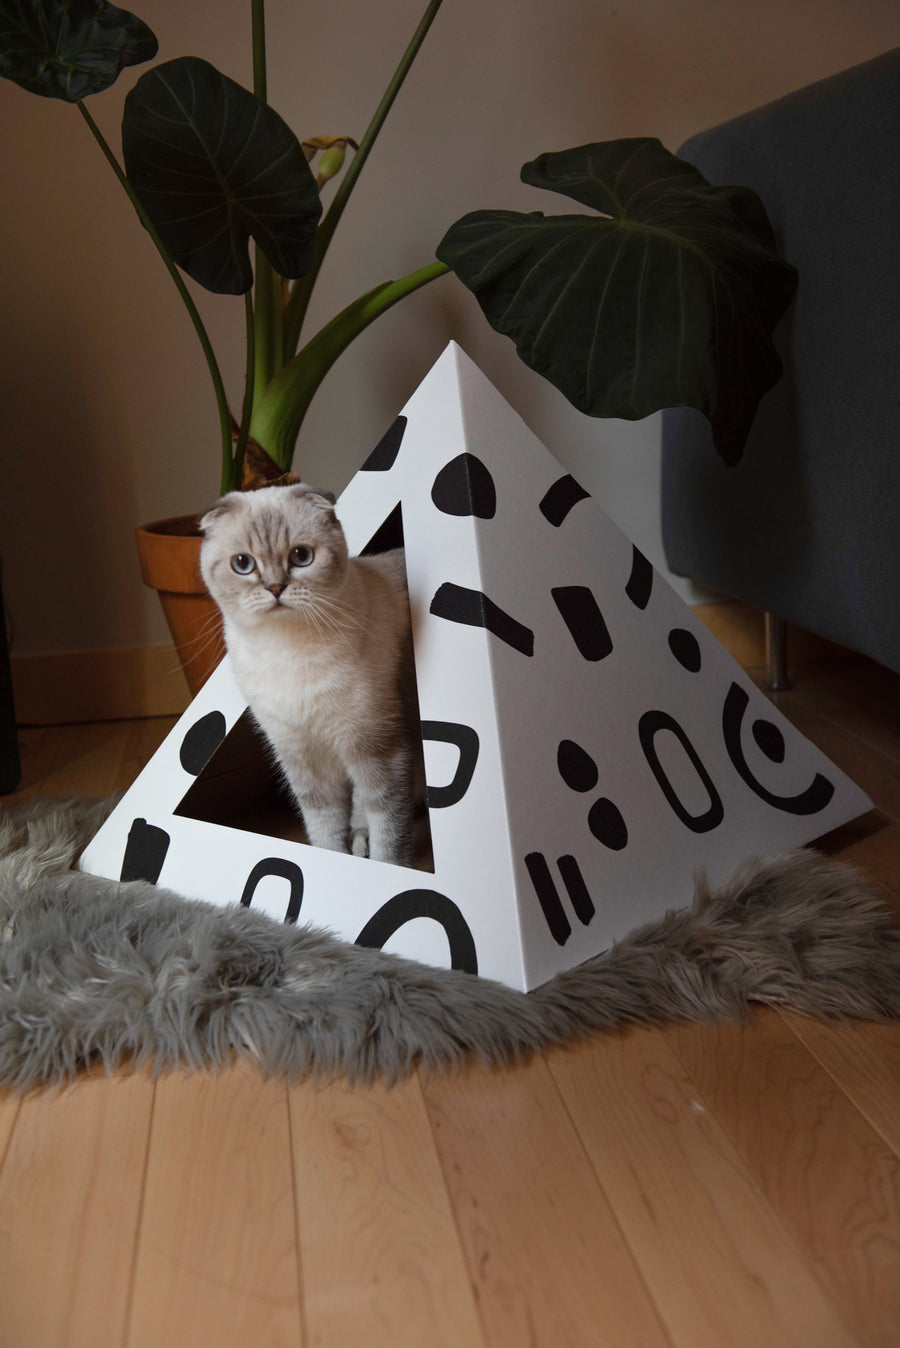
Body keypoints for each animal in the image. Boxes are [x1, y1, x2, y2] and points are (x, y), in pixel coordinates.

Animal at [198, 482, 423, 862]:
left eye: (301, 556)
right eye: (242, 563)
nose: (275, 588)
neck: (285, 651)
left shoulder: (379, 748)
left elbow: (389, 834)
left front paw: (382, 867)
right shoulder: (305, 758)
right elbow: (325, 831)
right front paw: (334, 861)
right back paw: (359, 843)